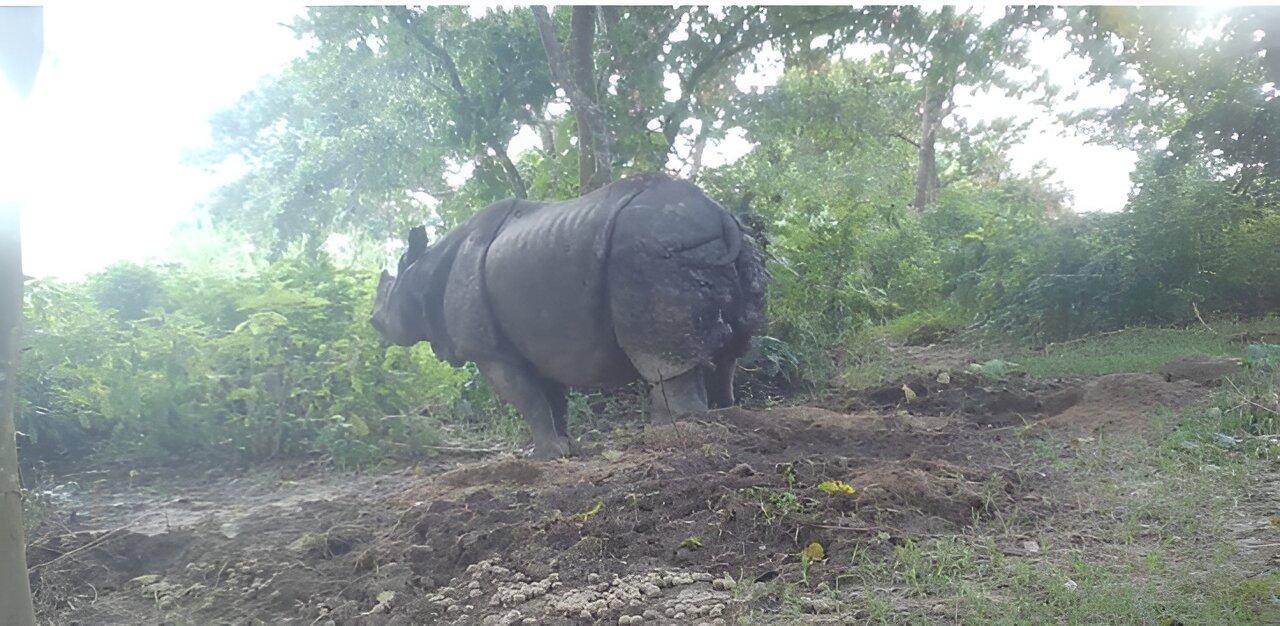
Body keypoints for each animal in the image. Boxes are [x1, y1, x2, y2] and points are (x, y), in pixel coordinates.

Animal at [371, 173, 766, 458]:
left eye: (384, 304)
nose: (373, 322)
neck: (422, 272)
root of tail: (719, 214)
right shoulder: (538, 343)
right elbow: (550, 400)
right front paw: (565, 450)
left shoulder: (490, 352)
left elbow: (526, 398)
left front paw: (544, 457)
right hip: (737, 248)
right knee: (731, 349)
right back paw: (727, 415)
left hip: (649, 248)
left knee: (662, 353)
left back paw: (670, 432)